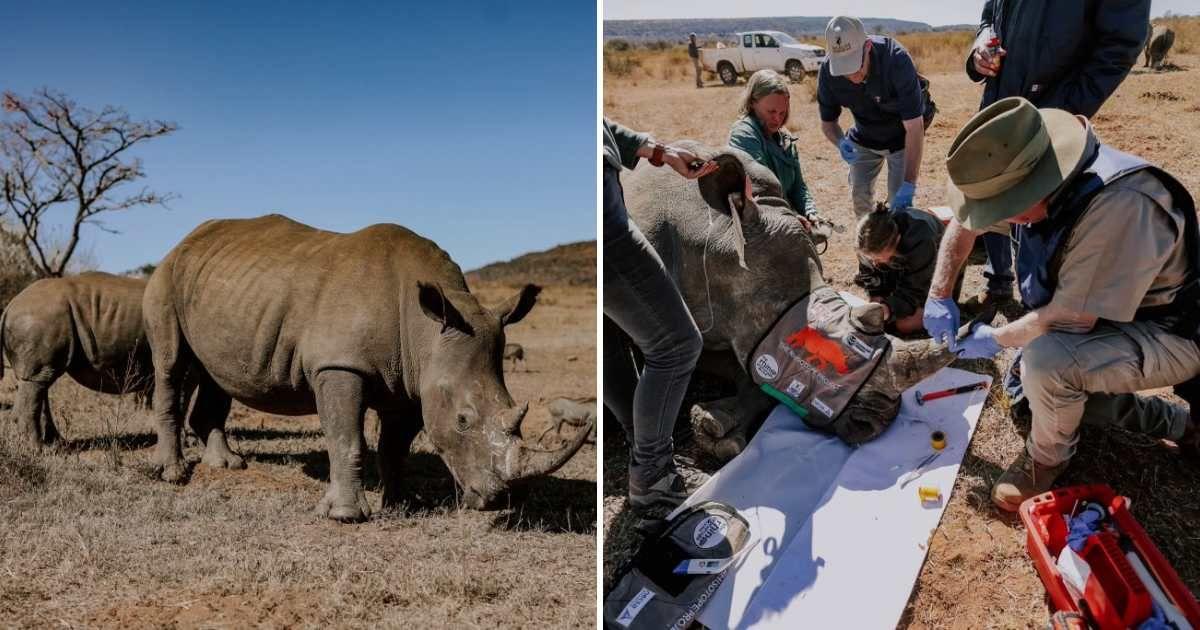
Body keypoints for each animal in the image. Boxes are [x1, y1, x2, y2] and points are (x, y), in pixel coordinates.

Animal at [1, 272, 152, 448]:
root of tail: (9, 306)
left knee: (39, 380)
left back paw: (54, 444)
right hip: (39, 318)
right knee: (37, 380)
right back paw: (38, 448)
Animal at [143, 215, 591, 522]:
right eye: (463, 420)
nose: (504, 499)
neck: (425, 331)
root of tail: (181, 243)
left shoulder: (414, 382)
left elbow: (395, 446)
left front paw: (400, 504)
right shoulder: (340, 365)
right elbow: (347, 438)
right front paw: (346, 516)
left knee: (217, 374)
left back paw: (227, 465)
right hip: (164, 280)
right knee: (170, 365)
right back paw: (174, 475)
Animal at [607, 145, 970, 462]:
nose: (874, 425)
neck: (718, 238)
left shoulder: (732, 328)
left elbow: (752, 377)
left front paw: (716, 429)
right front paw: (711, 429)